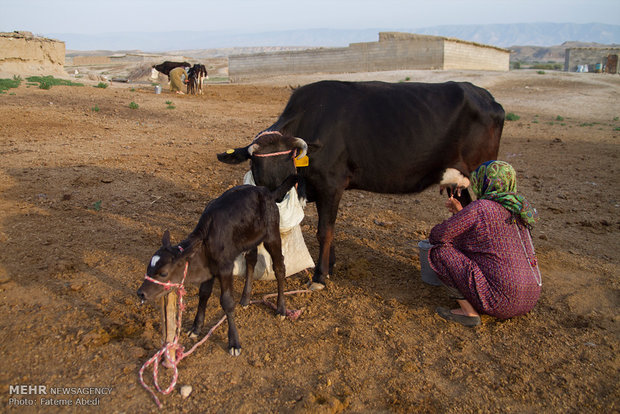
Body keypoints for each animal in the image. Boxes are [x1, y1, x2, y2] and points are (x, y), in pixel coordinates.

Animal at [139, 175, 298, 356]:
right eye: (149, 268)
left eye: (164, 273)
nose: (141, 293)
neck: (206, 241)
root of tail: (267, 192)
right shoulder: (209, 268)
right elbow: (203, 294)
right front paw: (196, 327)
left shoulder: (225, 267)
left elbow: (227, 301)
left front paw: (234, 342)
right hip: (250, 239)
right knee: (251, 260)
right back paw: (245, 298)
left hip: (272, 235)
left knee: (279, 267)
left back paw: (281, 309)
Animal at [218, 80, 504, 288]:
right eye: (256, 169)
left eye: (289, 167)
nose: (276, 203)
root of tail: (486, 96)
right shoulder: (319, 187)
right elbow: (327, 229)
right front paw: (329, 267)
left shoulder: (331, 184)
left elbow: (325, 231)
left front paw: (319, 277)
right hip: (462, 183)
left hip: (481, 177)